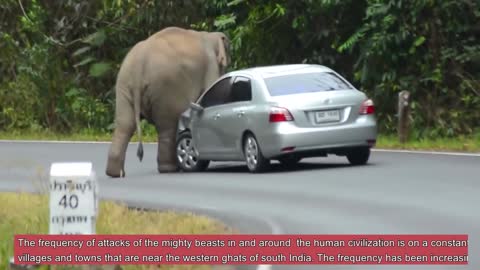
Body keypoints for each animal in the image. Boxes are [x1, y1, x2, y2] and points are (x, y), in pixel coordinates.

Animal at [105, 26, 232, 178]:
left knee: (124, 125)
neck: (209, 35)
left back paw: (115, 173)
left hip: (124, 83)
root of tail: (140, 62)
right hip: (167, 87)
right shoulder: (211, 66)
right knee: (168, 126)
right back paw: (169, 169)